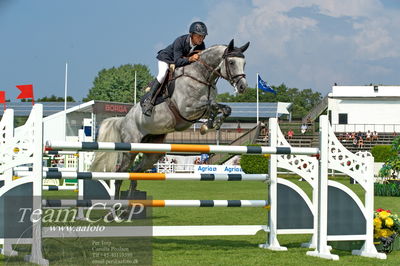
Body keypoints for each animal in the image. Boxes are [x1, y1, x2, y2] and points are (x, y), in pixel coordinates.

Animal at [90, 39, 250, 197]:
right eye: (231, 62)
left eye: (244, 63)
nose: (242, 87)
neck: (201, 77)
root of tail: (123, 120)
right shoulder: (187, 109)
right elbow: (211, 104)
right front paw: (210, 125)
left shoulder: (200, 110)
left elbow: (222, 108)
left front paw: (211, 124)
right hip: (131, 149)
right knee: (120, 175)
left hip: (152, 152)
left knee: (135, 173)